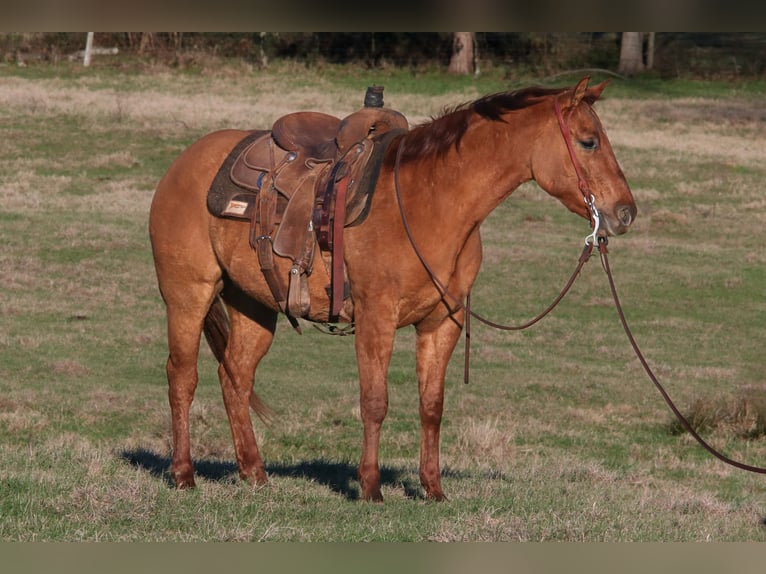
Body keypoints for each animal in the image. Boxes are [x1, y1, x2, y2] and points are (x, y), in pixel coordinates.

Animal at [148, 77, 636, 504]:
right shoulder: (375, 318)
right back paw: (184, 475)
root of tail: (183, 162)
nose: (625, 212)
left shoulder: (442, 323)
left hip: (253, 306)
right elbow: (375, 402)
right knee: (182, 376)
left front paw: (433, 489)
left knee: (234, 377)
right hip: (187, 295)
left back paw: (255, 474)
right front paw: (370, 488)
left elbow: (432, 406)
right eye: (589, 142)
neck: (431, 203)